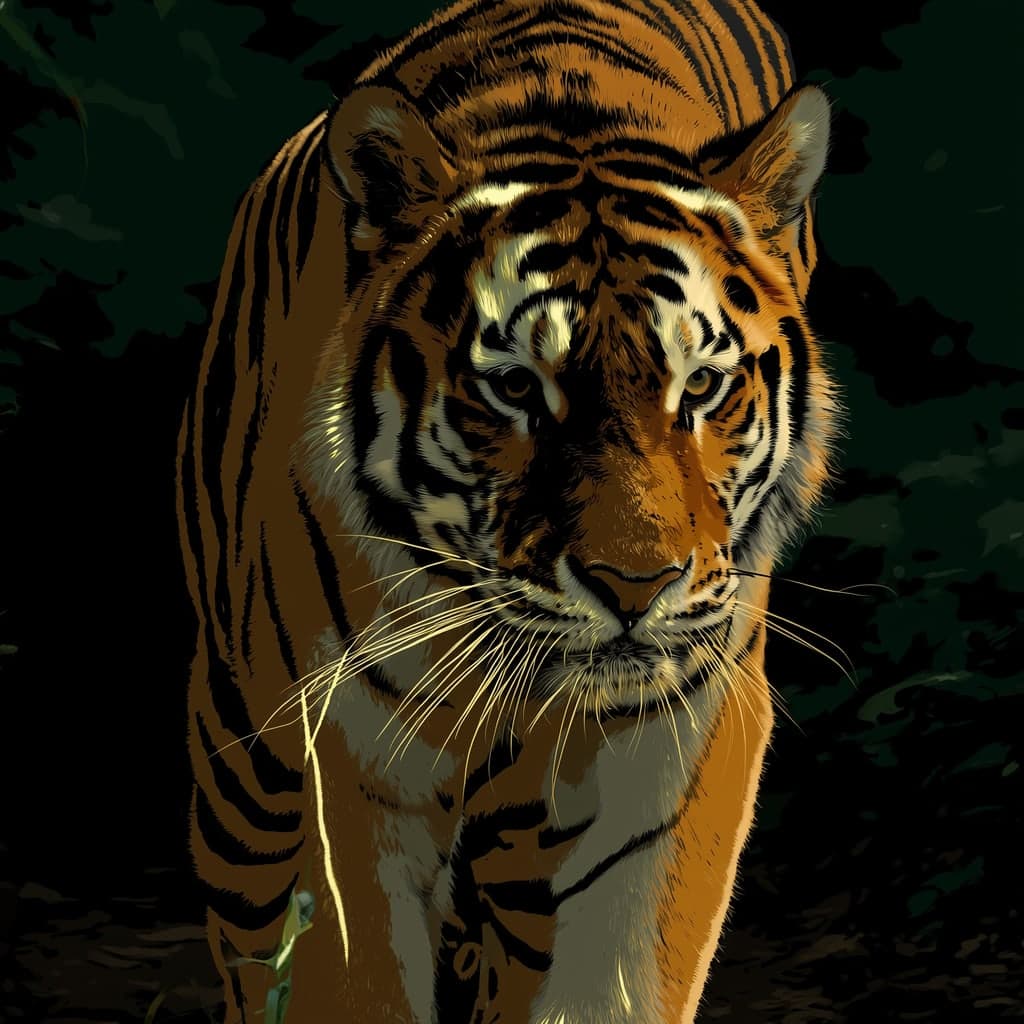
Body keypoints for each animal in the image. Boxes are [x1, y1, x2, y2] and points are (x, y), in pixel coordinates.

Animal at [176, 0, 838, 1021]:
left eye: (702, 386)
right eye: (519, 388)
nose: (634, 587)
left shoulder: (660, 751)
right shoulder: (335, 761)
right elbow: (348, 972)